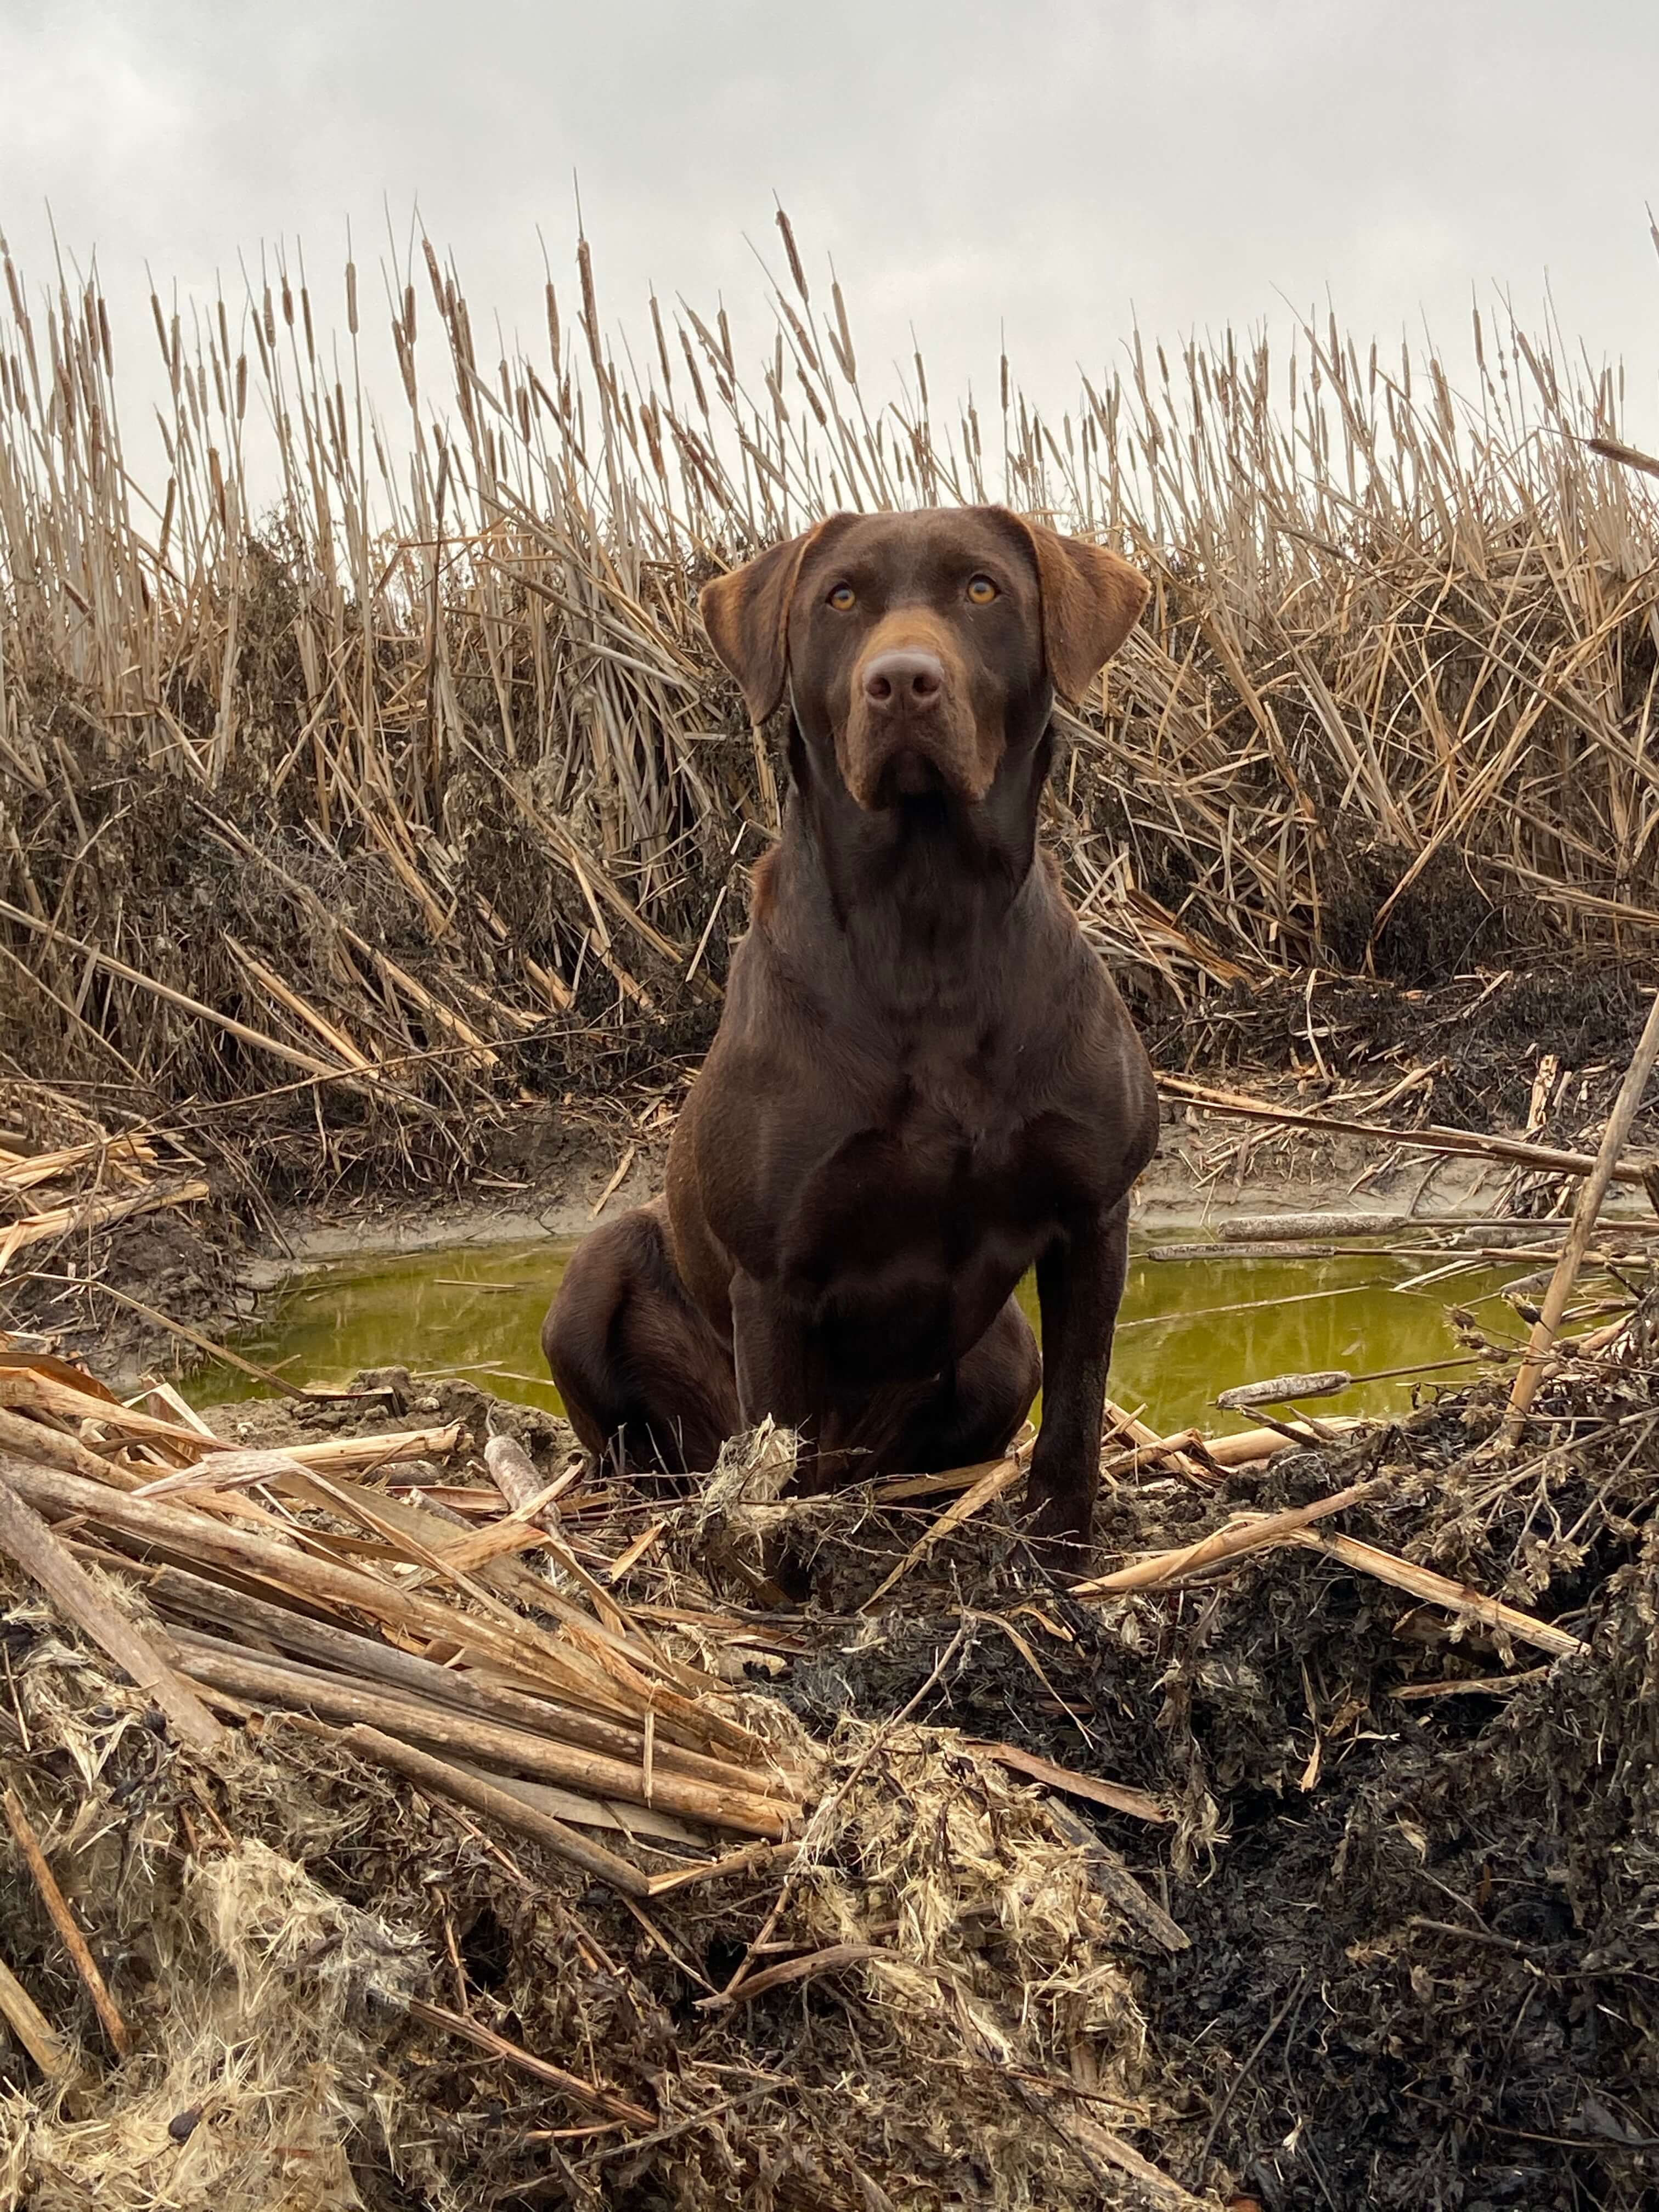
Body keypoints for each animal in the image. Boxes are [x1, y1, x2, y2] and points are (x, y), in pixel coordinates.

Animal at [541, 509, 1159, 1566]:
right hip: (598, 1269)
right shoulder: (774, 1281)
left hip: (1004, 1348)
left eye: (983, 589)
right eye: (838, 598)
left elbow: (1076, 1422)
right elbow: (772, 1477)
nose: (902, 680)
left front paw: (1059, 1564)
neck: (926, 925)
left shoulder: (1092, 1218)